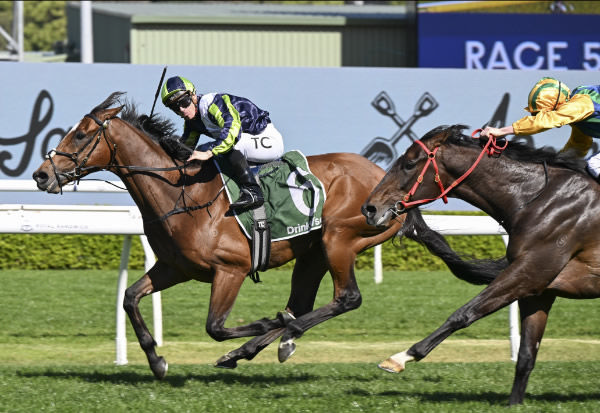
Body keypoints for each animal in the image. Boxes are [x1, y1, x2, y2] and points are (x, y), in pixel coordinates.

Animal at [32, 91, 404, 378]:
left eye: (81, 135)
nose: (40, 175)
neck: (181, 193)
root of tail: (384, 176)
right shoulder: (174, 268)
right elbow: (130, 297)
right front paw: (157, 361)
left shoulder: (231, 270)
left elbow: (215, 327)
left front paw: (266, 323)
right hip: (314, 251)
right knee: (302, 304)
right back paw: (268, 343)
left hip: (339, 238)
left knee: (346, 298)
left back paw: (273, 335)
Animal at [358, 124, 600, 404]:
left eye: (408, 163)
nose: (369, 208)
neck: (538, 199)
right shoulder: (539, 289)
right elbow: (526, 355)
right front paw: (514, 404)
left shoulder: (529, 272)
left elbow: (464, 313)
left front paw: (400, 358)